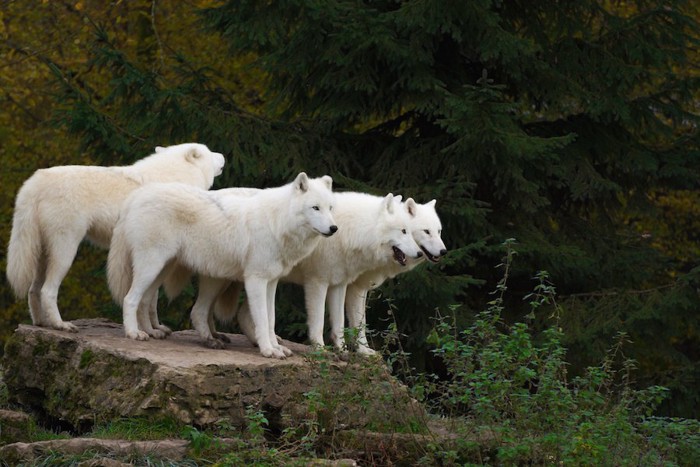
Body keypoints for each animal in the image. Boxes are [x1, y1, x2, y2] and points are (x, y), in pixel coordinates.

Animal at [5, 144, 224, 332]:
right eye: (209, 151)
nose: (223, 156)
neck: (176, 175)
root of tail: (36, 180)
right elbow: (148, 298)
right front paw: (148, 330)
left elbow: (151, 298)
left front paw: (156, 328)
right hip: (66, 251)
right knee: (47, 290)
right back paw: (61, 325)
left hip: (42, 253)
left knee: (33, 290)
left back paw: (41, 323)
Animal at [108, 174, 338, 360]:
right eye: (315, 208)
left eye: (330, 208)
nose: (334, 228)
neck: (277, 222)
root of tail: (137, 196)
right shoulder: (255, 281)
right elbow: (262, 320)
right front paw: (268, 351)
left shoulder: (271, 282)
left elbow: (271, 320)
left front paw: (277, 348)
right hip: (152, 266)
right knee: (130, 299)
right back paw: (134, 333)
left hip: (161, 270)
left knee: (145, 301)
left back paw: (152, 332)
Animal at [198, 192, 426, 352]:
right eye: (403, 231)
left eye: (411, 231)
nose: (419, 253)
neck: (351, 230)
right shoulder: (317, 283)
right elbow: (318, 321)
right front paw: (320, 349)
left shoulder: (339, 284)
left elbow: (339, 324)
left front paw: (343, 351)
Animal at [344, 199, 448, 356]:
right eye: (427, 231)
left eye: (439, 231)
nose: (444, 251)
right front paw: (362, 350)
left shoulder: (359, 287)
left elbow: (361, 321)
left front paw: (363, 349)